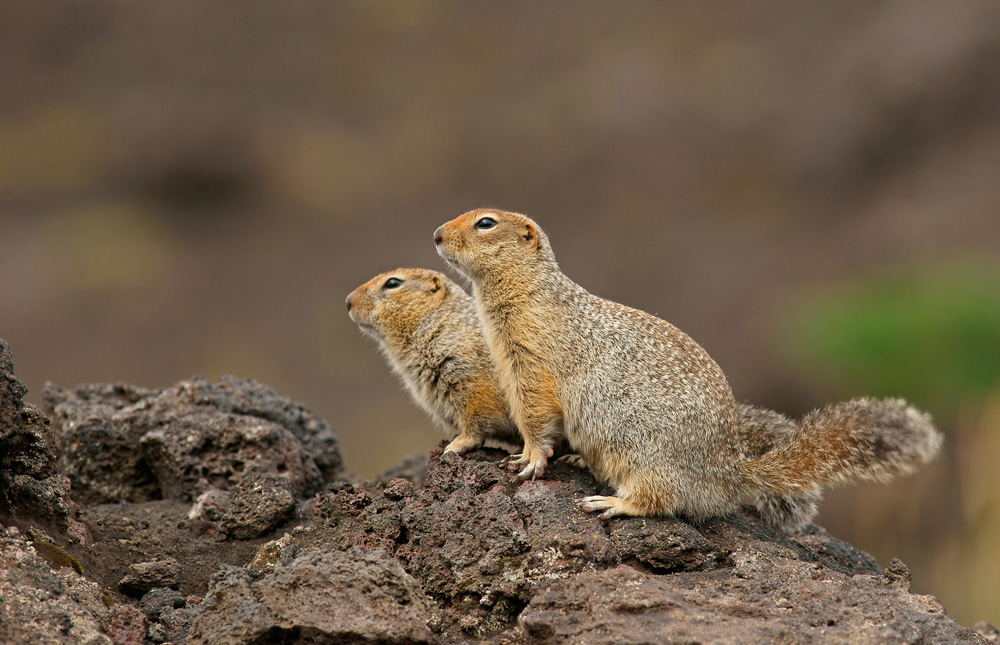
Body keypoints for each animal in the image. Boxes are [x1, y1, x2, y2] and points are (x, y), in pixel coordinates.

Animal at [434, 209, 940, 524]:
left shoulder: (532, 362)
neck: (525, 293)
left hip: (648, 457)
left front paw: (528, 460)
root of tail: (729, 473)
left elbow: (536, 417)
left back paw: (611, 503)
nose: (436, 234)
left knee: (661, 501)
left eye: (485, 222)